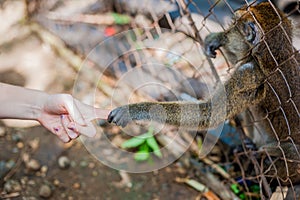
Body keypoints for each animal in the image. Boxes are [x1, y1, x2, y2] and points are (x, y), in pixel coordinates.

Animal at [108, 2, 300, 184]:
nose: (228, 31)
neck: (276, 55)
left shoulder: (247, 74)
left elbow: (209, 114)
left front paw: (134, 111)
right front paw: (219, 38)